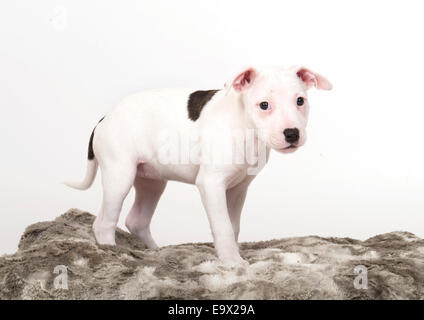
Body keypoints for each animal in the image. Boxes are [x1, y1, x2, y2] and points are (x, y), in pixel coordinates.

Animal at [65, 65, 332, 264]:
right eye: (264, 105)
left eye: (300, 101)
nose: (292, 133)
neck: (244, 126)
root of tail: (104, 118)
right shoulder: (211, 184)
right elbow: (223, 226)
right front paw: (232, 263)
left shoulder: (238, 189)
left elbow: (233, 226)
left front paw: (232, 255)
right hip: (120, 176)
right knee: (104, 222)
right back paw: (113, 252)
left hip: (152, 181)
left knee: (136, 220)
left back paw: (156, 252)